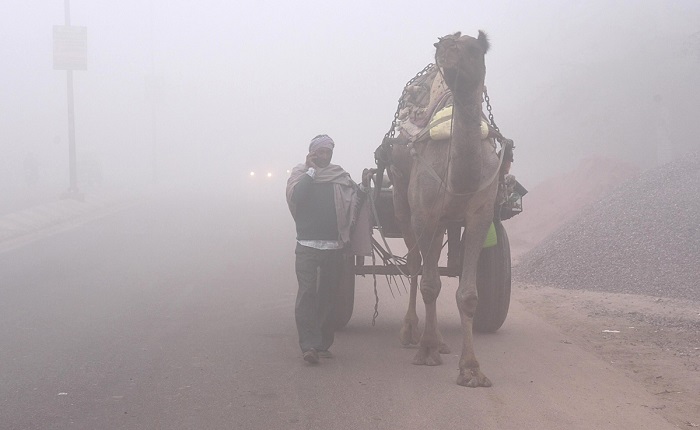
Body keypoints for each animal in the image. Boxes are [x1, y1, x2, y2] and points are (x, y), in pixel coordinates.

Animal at [380, 30, 500, 386]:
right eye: (445, 45)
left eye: (474, 49)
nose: (445, 48)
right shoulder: (424, 212)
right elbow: (430, 283)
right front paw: (426, 351)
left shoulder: (480, 214)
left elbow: (468, 294)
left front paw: (471, 369)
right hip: (403, 200)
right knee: (417, 264)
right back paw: (412, 334)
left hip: (444, 219)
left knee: (431, 257)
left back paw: (442, 342)